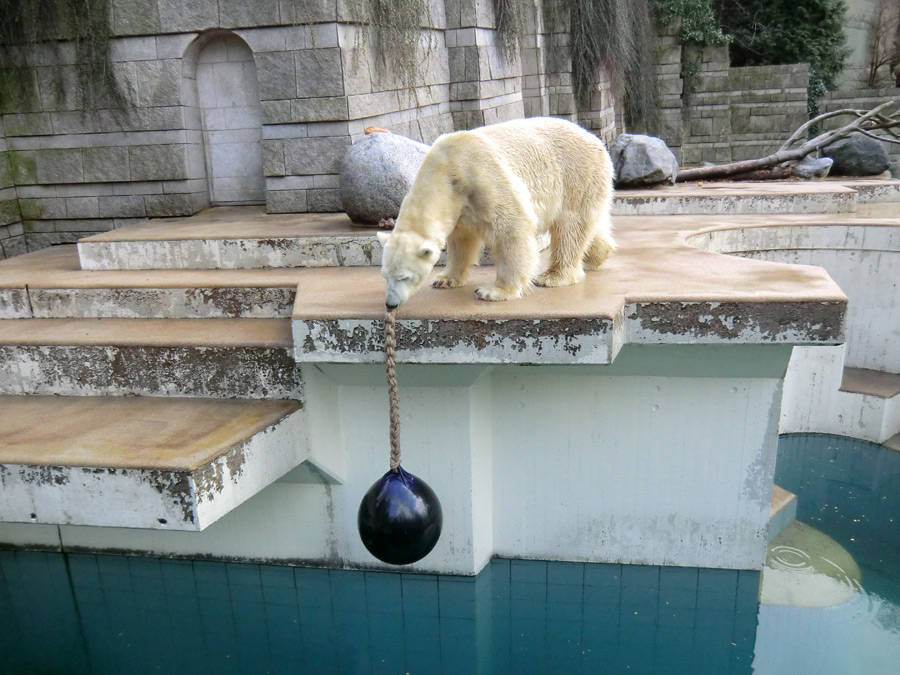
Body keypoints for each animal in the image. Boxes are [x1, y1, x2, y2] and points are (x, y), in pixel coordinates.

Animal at [376, 116, 616, 306]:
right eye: (385, 275)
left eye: (405, 277)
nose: (390, 304)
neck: (445, 169)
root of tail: (596, 140)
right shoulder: (458, 206)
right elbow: (461, 241)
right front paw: (445, 279)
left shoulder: (481, 178)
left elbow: (511, 228)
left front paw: (493, 291)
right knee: (587, 225)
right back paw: (598, 256)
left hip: (575, 175)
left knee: (569, 227)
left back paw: (552, 276)